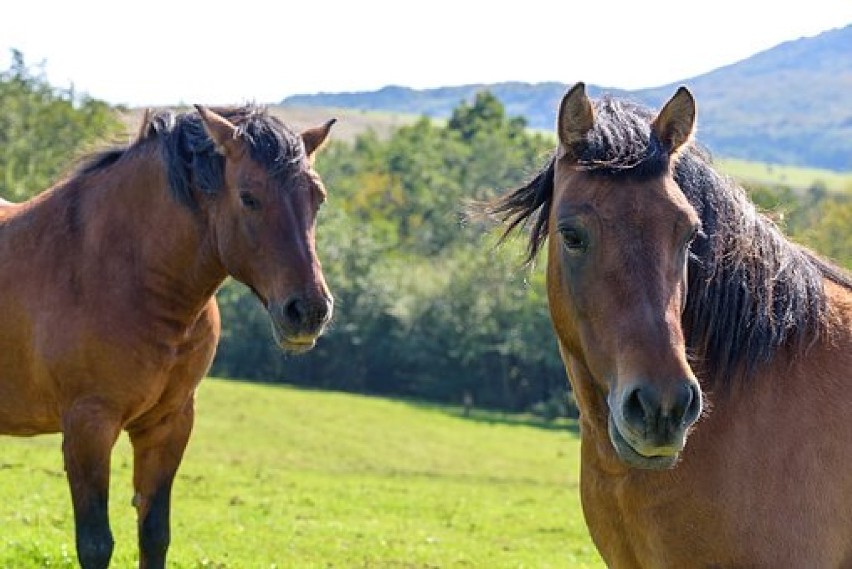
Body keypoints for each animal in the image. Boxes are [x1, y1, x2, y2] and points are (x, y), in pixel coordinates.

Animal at [0, 104, 336, 564]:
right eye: (249, 197)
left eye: (317, 197)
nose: (309, 311)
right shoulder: (89, 426)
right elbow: (95, 543)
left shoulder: (169, 424)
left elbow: (154, 533)